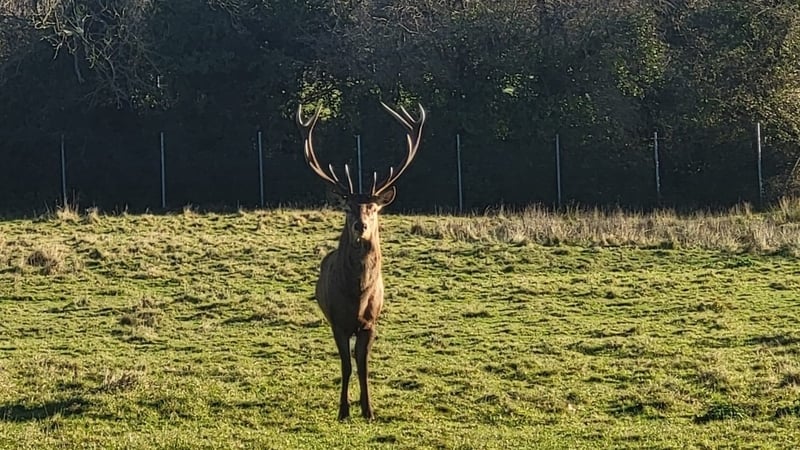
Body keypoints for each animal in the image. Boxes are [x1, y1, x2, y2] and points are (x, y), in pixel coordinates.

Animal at [296, 101, 426, 421]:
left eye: (373, 208)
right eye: (348, 208)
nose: (360, 225)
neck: (357, 295)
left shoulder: (370, 322)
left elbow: (363, 366)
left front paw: (368, 410)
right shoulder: (338, 322)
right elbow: (345, 365)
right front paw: (343, 410)